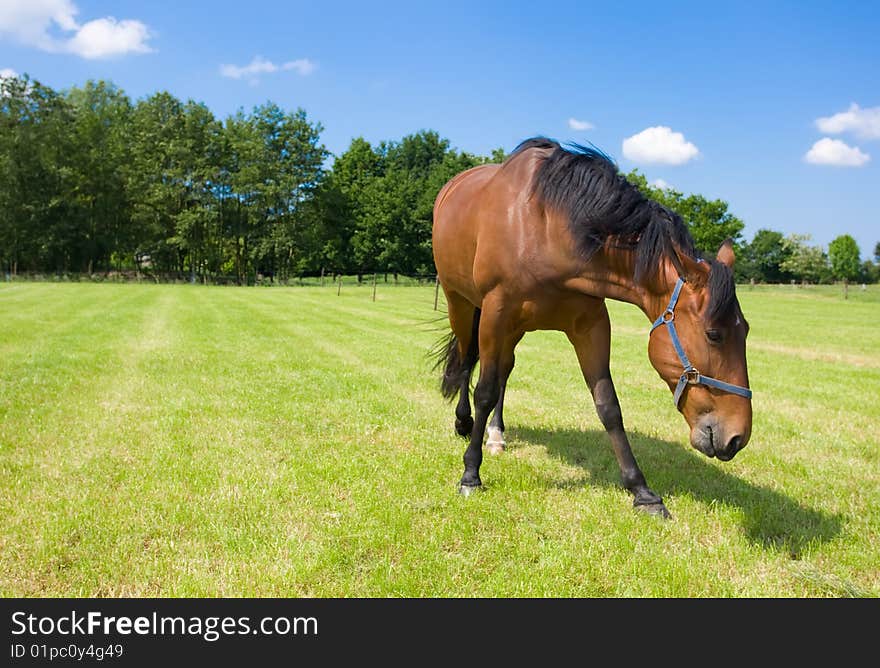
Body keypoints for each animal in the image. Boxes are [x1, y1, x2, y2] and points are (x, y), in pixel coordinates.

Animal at [432, 138, 748, 520]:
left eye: (745, 331)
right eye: (713, 334)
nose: (737, 436)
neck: (547, 228)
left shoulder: (591, 325)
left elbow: (608, 405)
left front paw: (642, 492)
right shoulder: (496, 313)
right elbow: (485, 390)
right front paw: (470, 473)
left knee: (504, 369)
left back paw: (496, 433)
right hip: (462, 304)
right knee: (467, 361)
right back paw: (464, 423)